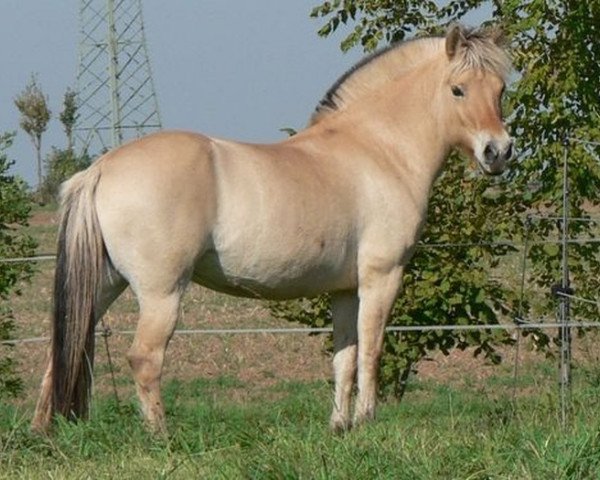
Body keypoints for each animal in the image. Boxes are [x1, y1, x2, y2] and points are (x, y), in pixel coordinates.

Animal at [31, 24, 510, 434]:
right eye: (457, 89)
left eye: (500, 89)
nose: (499, 152)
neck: (376, 149)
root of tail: (101, 168)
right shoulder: (382, 276)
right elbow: (372, 349)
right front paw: (366, 421)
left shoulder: (344, 289)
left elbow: (345, 355)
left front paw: (340, 426)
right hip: (160, 292)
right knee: (144, 358)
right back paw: (160, 436)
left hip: (104, 283)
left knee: (63, 345)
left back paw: (44, 432)